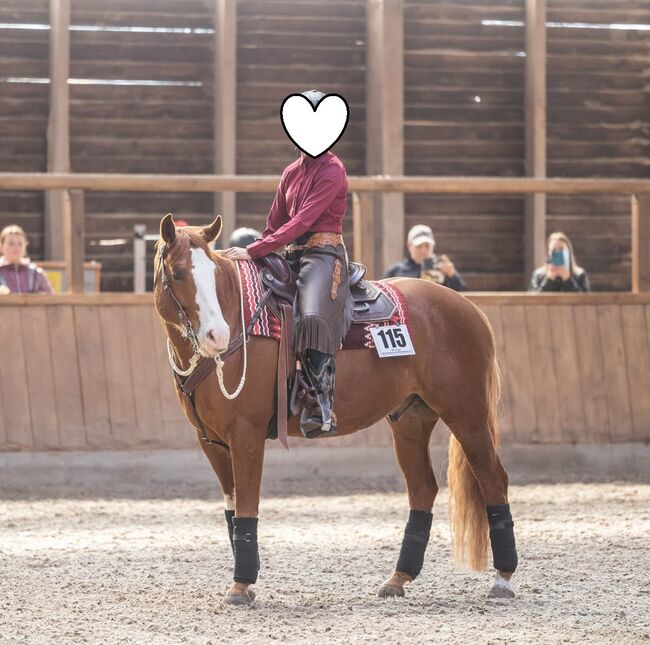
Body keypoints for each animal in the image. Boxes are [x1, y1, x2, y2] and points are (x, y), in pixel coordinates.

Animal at [152, 215, 516, 604]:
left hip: (468, 416)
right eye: (178, 274)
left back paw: (503, 579)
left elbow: (247, 506)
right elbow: (233, 510)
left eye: (215, 274)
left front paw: (241, 585)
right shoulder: (212, 442)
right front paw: (244, 582)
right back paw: (398, 579)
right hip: (410, 421)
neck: (241, 320)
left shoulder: (246, 435)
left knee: (493, 480)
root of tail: (469, 308)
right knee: (423, 489)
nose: (217, 336)